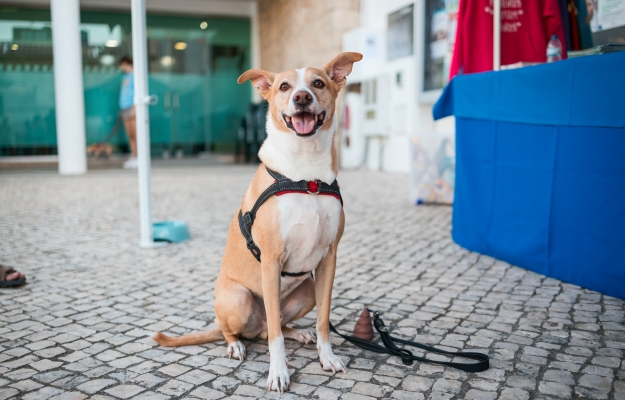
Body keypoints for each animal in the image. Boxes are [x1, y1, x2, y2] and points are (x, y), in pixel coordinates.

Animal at [153, 52, 364, 394]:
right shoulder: (271, 259)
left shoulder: (329, 260)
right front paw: (278, 373)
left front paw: (327, 357)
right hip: (239, 301)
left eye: (318, 83)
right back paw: (236, 345)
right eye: (284, 86)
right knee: (247, 330)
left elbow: (323, 320)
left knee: (271, 327)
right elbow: (275, 337)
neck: (306, 177)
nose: (301, 98)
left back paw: (297, 332)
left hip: (306, 290)